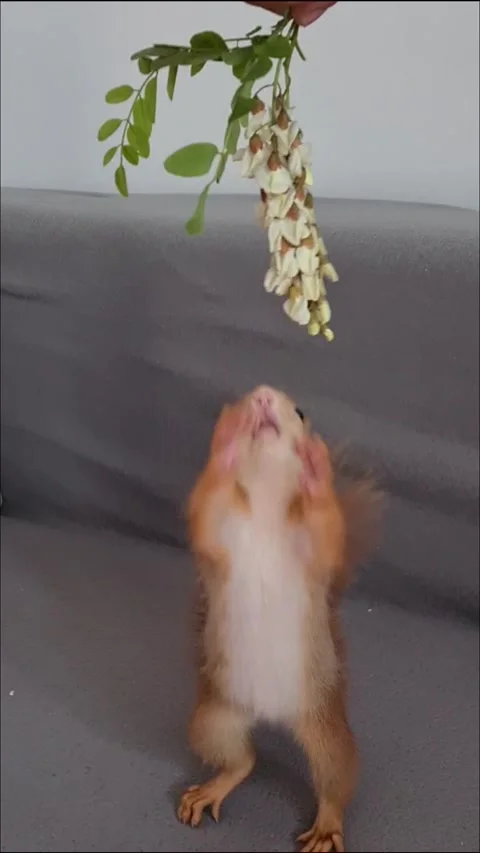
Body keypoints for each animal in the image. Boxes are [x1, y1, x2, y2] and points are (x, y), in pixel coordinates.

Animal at [177, 385, 383, 853]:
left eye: (301, 412)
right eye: (242, 398)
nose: (263, 398)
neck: (266, 503)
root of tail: (270, 714)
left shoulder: (313, 551)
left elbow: (327, 530)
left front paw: (316, 467)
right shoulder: (221, 530)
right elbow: (206, 506)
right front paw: (227, 439)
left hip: (327, 731)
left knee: (335, 780)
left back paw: (327, 825)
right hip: (214, 720)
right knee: (243, 761)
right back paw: (212, 788)